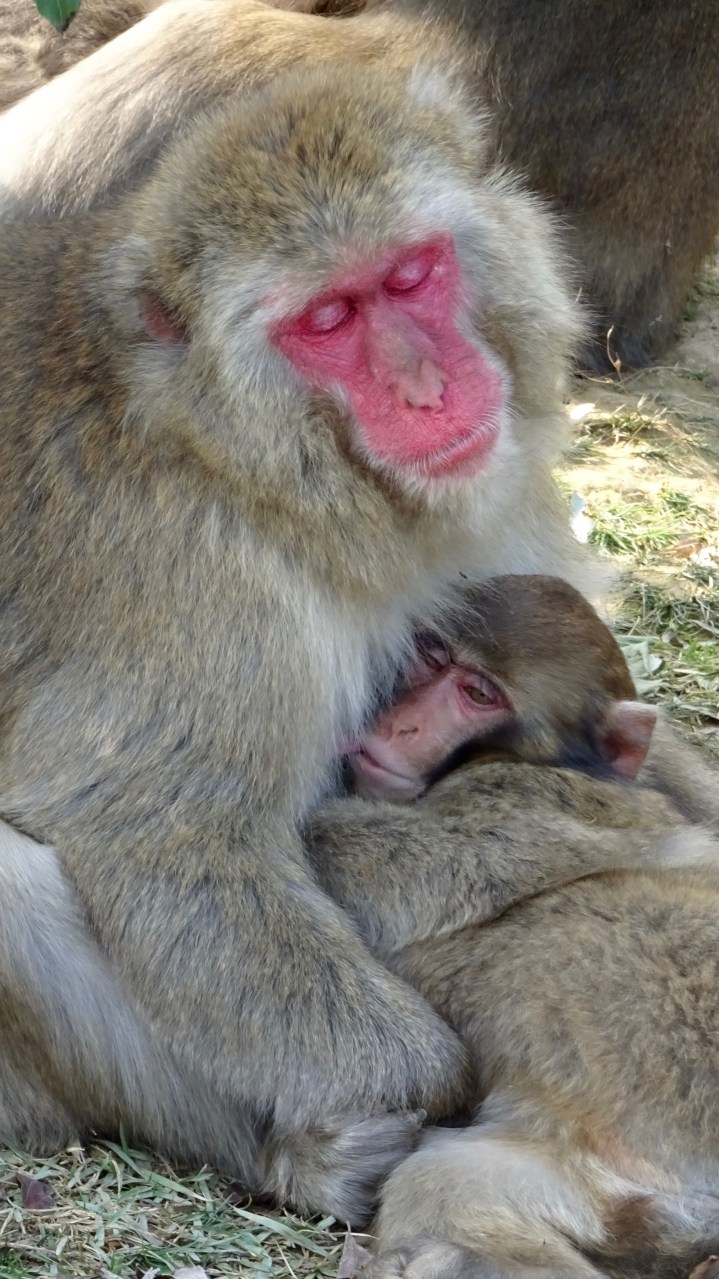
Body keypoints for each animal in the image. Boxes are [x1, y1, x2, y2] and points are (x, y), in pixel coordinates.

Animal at [0, 60, 628, 1223]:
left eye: (411, 275)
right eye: (327, 318)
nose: (427, 389)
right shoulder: (199, 590)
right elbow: (168, 842)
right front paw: (430, 1082)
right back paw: (305, 1156)